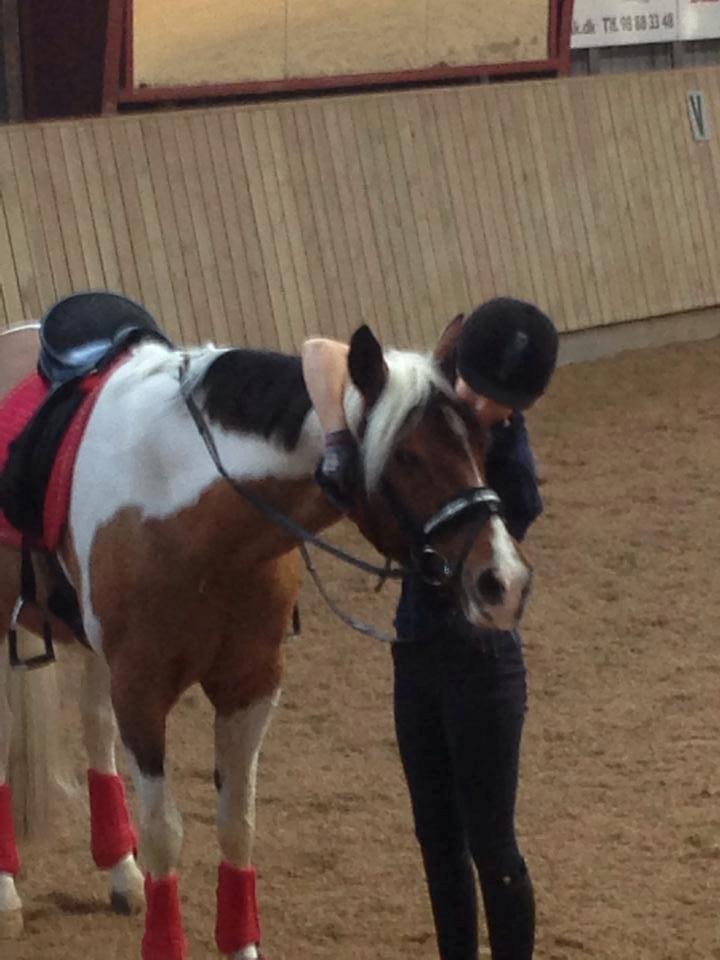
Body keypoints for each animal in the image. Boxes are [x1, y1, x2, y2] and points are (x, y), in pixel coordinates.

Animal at [0, 307, 532, 959]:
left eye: (481, 443)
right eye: (406, 457)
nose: (502, 581)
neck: (184, 511)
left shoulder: (250, 685)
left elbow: (238, 826)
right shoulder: (142, 694)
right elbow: (166, 835)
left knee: (94, 724)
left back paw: (120, 872)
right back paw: (9, 893)